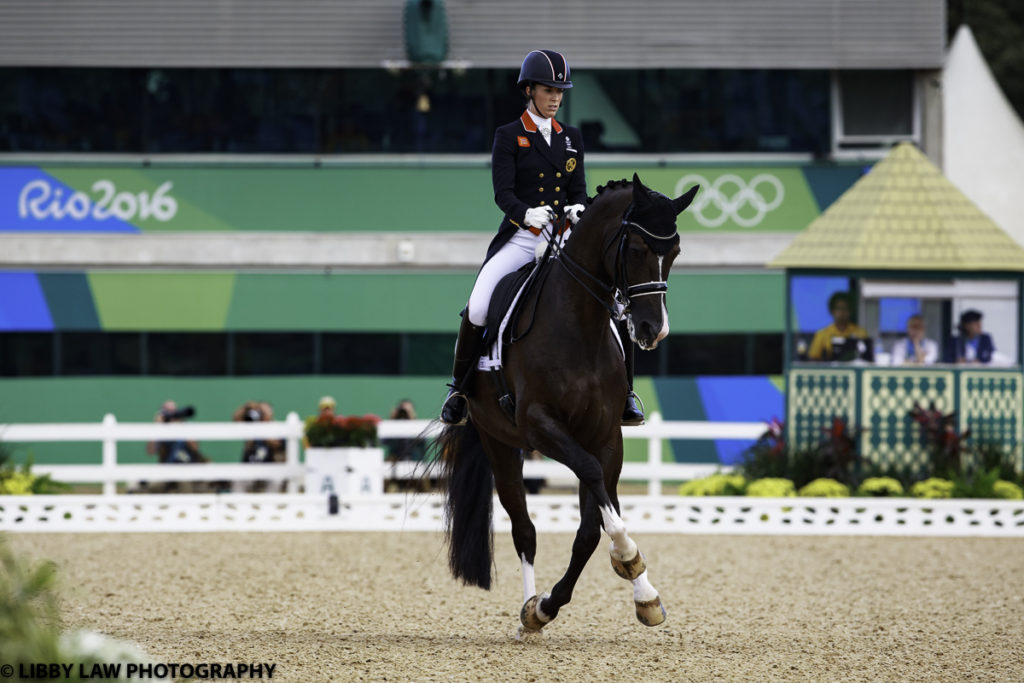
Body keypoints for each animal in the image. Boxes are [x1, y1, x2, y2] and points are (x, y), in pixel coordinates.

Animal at [436, 174, 700, 638]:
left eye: (676, 251)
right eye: (636, 248)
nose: (653, 330)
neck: (579, 327)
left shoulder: (606, 436)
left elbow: (591, 530)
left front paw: (641, 592)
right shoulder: (541, 426)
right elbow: (594, 490)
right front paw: (626, 559)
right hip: (498, 441)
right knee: (524, 529)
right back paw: (526, 614)